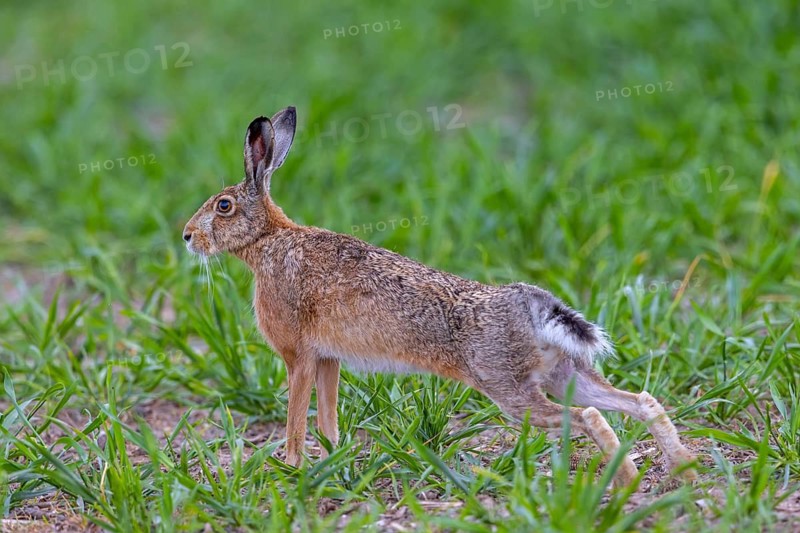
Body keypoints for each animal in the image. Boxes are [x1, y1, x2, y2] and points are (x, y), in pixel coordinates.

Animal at [182, 106, 697, 486]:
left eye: (223, 206)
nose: (188, 236)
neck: (267, 240)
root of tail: (529, 306)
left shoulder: (299, 357)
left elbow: (296, 414)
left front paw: (290, 465)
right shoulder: (327, 359)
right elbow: (326, 414)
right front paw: (332, 456)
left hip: (507, 388)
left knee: (588, 415)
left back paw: (626, 481)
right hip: (562, 373)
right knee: (636, 401)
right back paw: (683, 470)